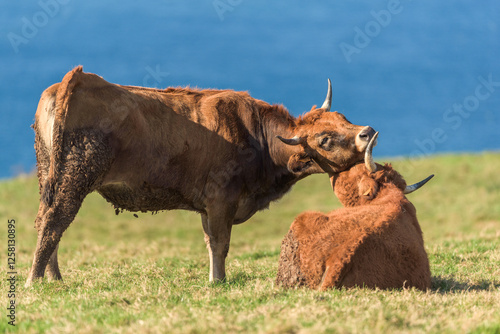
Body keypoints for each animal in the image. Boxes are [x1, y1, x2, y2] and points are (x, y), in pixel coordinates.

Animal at [24, 66, 376, 286]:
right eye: (324, 139)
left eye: (343, 117)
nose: (366, 132)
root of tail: (77, 78)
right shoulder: (222, 198)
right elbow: (220, 243)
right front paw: (218, 282)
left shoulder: (208, 205)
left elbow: (210, 241)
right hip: (75, 175)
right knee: (55, 221)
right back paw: (34, 280)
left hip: (49, 174)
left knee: (46, 220)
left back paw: (53, 278)